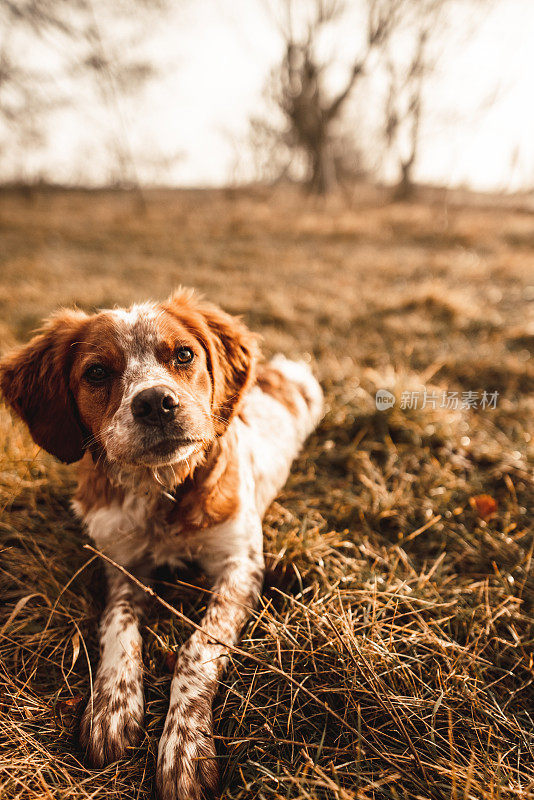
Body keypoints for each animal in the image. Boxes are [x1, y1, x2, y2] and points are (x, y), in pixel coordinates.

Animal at [0, 290, 324, 800]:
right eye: (97, 372)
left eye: (184, 354)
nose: (155, 402)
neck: (162, 491)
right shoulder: (122, 566)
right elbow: (119, 626)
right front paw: (111, 708)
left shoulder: (240, 564)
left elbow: (197, 648)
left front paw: (184, 749)